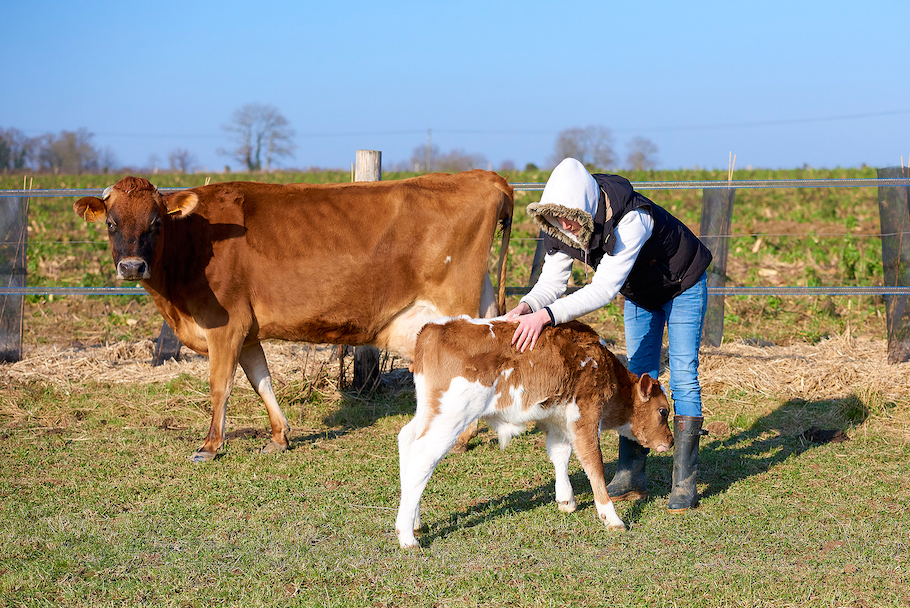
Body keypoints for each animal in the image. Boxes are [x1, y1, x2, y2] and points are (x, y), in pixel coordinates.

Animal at [75, 171, 516, 460]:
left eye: (155, 224)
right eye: (111, 224)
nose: (132, 267)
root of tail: (480, 175)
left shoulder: (224, 324)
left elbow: (221, 386)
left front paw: (210, 445)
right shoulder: (248, 331)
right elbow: (261, 381)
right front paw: (279, 436)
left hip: (453, 301)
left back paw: (461, 437)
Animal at [396, 316, 672, 548]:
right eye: (663, 411)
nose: (669, 441)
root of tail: (435, 327)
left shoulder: (557, 418)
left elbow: (560, 453)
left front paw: (566, 499)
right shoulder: (586, 415)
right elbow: (593, 463)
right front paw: (611, 517)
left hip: (430, 410)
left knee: (407, 440)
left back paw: (415, 521)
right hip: (453, 415)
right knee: (422, 457)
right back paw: (406, 536)